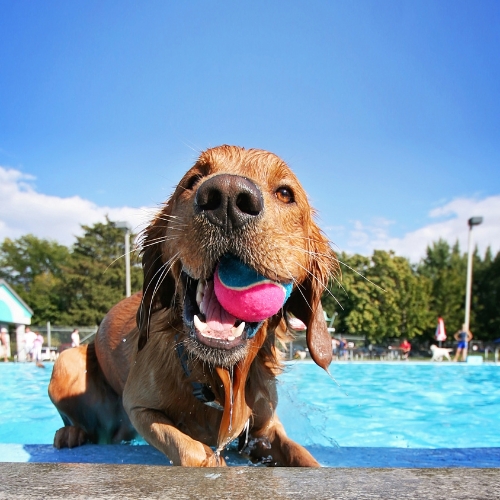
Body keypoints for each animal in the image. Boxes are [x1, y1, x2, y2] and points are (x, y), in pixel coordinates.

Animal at [47, 146, 336, 466]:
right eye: (194, 179)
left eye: (285, 193)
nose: (228, 197)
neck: (219, 377)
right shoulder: (138, 406)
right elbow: (192, 450)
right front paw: (213, 461)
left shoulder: (264, 427)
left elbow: (301, 456)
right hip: (65, 362)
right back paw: (70, 433)